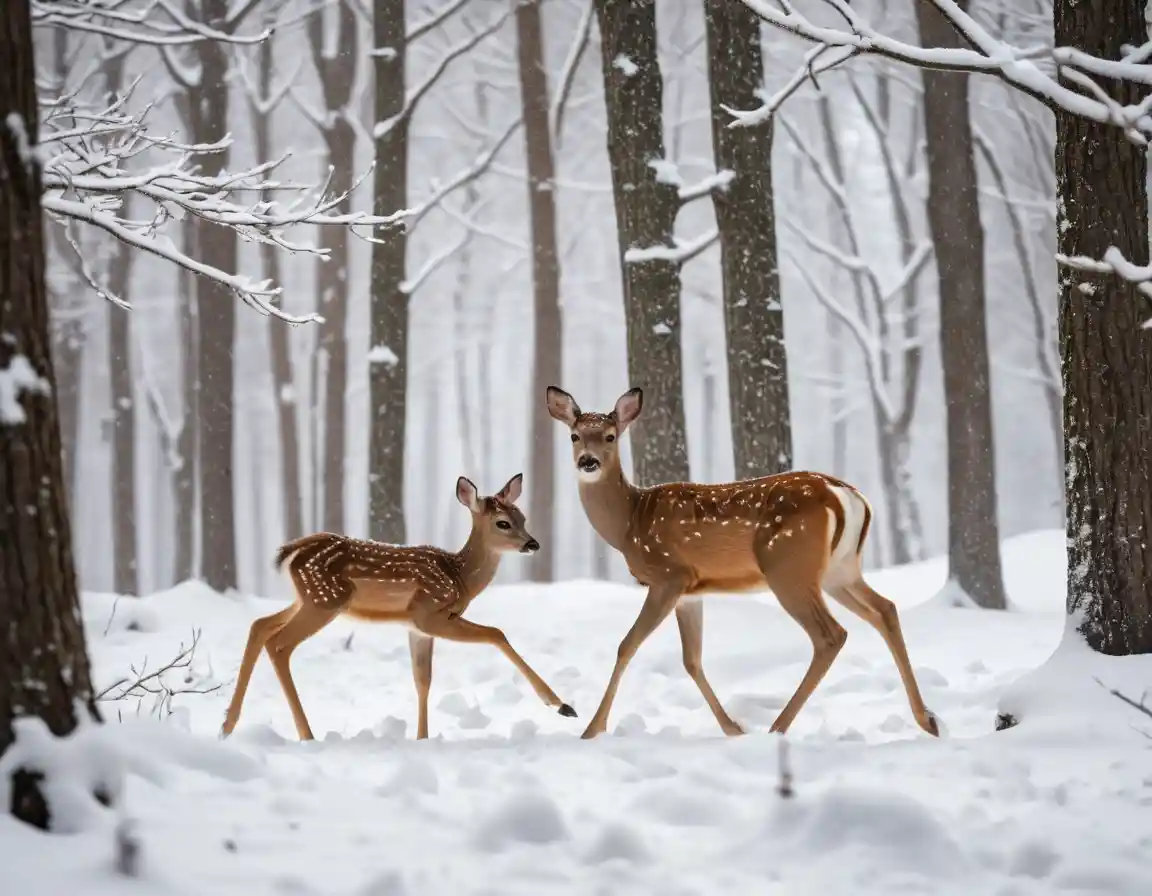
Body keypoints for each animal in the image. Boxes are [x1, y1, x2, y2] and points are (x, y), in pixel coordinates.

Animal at [220, 473, 577, 742]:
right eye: (503, 523)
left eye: (522, 517)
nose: (533, 543)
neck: (459, 577)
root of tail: (294, 551)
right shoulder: (431, 613)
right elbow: (496, 633)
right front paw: (560, 704)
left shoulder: (416, 628)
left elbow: (422, 681)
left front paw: (422, 738)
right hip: (325, 600)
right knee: (278, 644)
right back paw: (306, 734)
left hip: (305, 598)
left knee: (260, 624)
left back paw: (227, 725)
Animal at [546, 385, 940, 741]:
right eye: (574, 436)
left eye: (610, 436)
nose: (588, 461)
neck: (630, 522)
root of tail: (846, 495)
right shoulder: (691, 591)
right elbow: (692, 659)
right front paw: (732, 728)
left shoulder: (669, 576)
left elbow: (627, 645)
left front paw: (592, 729)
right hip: (840, 570)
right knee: (885, 609)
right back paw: (928, 720)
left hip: (788, 567)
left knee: (831, 634)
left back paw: (778, 728)